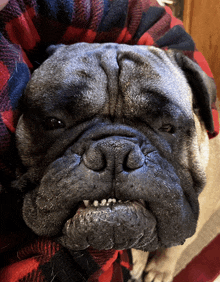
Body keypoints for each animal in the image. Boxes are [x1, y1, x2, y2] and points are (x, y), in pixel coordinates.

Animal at [15, 43, 220, 280]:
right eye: (54, 122)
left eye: (167, 127)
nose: (115, 151)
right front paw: (138, 260)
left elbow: (174, 247)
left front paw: (159, 270)